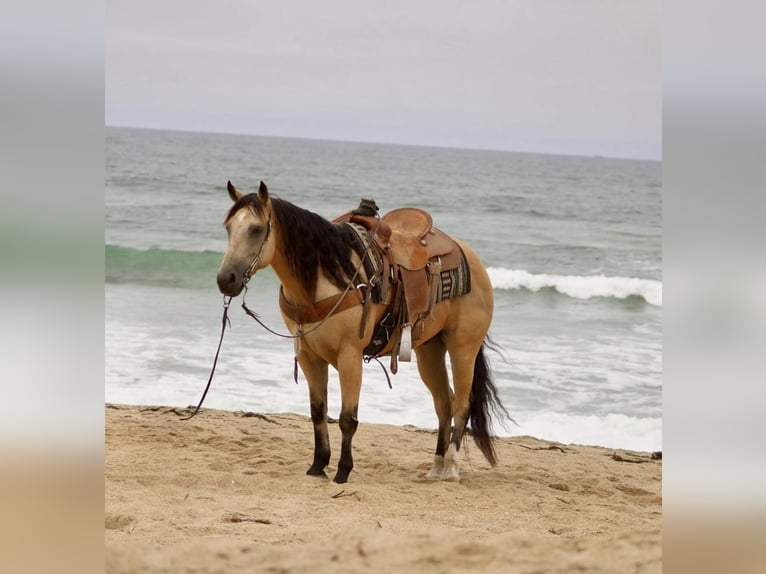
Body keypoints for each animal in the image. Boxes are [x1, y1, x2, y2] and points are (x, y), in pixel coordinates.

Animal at [216, 180, 508, 483]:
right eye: (228, 228)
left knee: (461, 405)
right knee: (444, 404)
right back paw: (436, 467)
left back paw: (450, 468)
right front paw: (318, 465)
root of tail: (472, 259)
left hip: (463, 349)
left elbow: (348, 418)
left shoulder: (350, 356)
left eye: (256, 229)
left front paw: (343, 471)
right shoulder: (309, 356)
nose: (226, 279)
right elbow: (318, 412)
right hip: (429, 350)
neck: (325, 278)